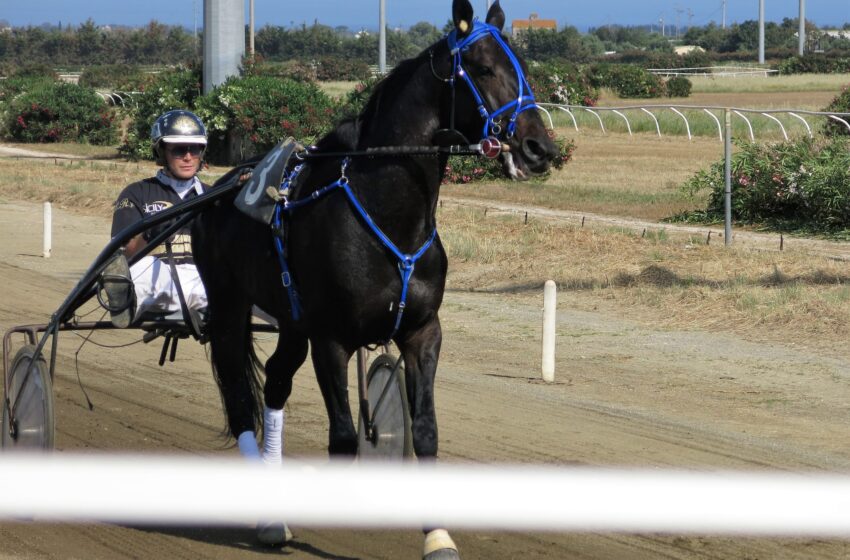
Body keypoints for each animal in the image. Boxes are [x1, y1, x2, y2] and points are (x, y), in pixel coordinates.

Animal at [192, 0, 556, 556]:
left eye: (524, 68)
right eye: (482, 68)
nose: (539, 146)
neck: (388, 214)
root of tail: (223, 186)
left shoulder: (422, 331)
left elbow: (425, 431)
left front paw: (437, 535)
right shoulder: (332, 338)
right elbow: (343, 437)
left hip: (292, 320)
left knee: (275, 380)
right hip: (231, 306)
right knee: (238, 394)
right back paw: (267, 516)